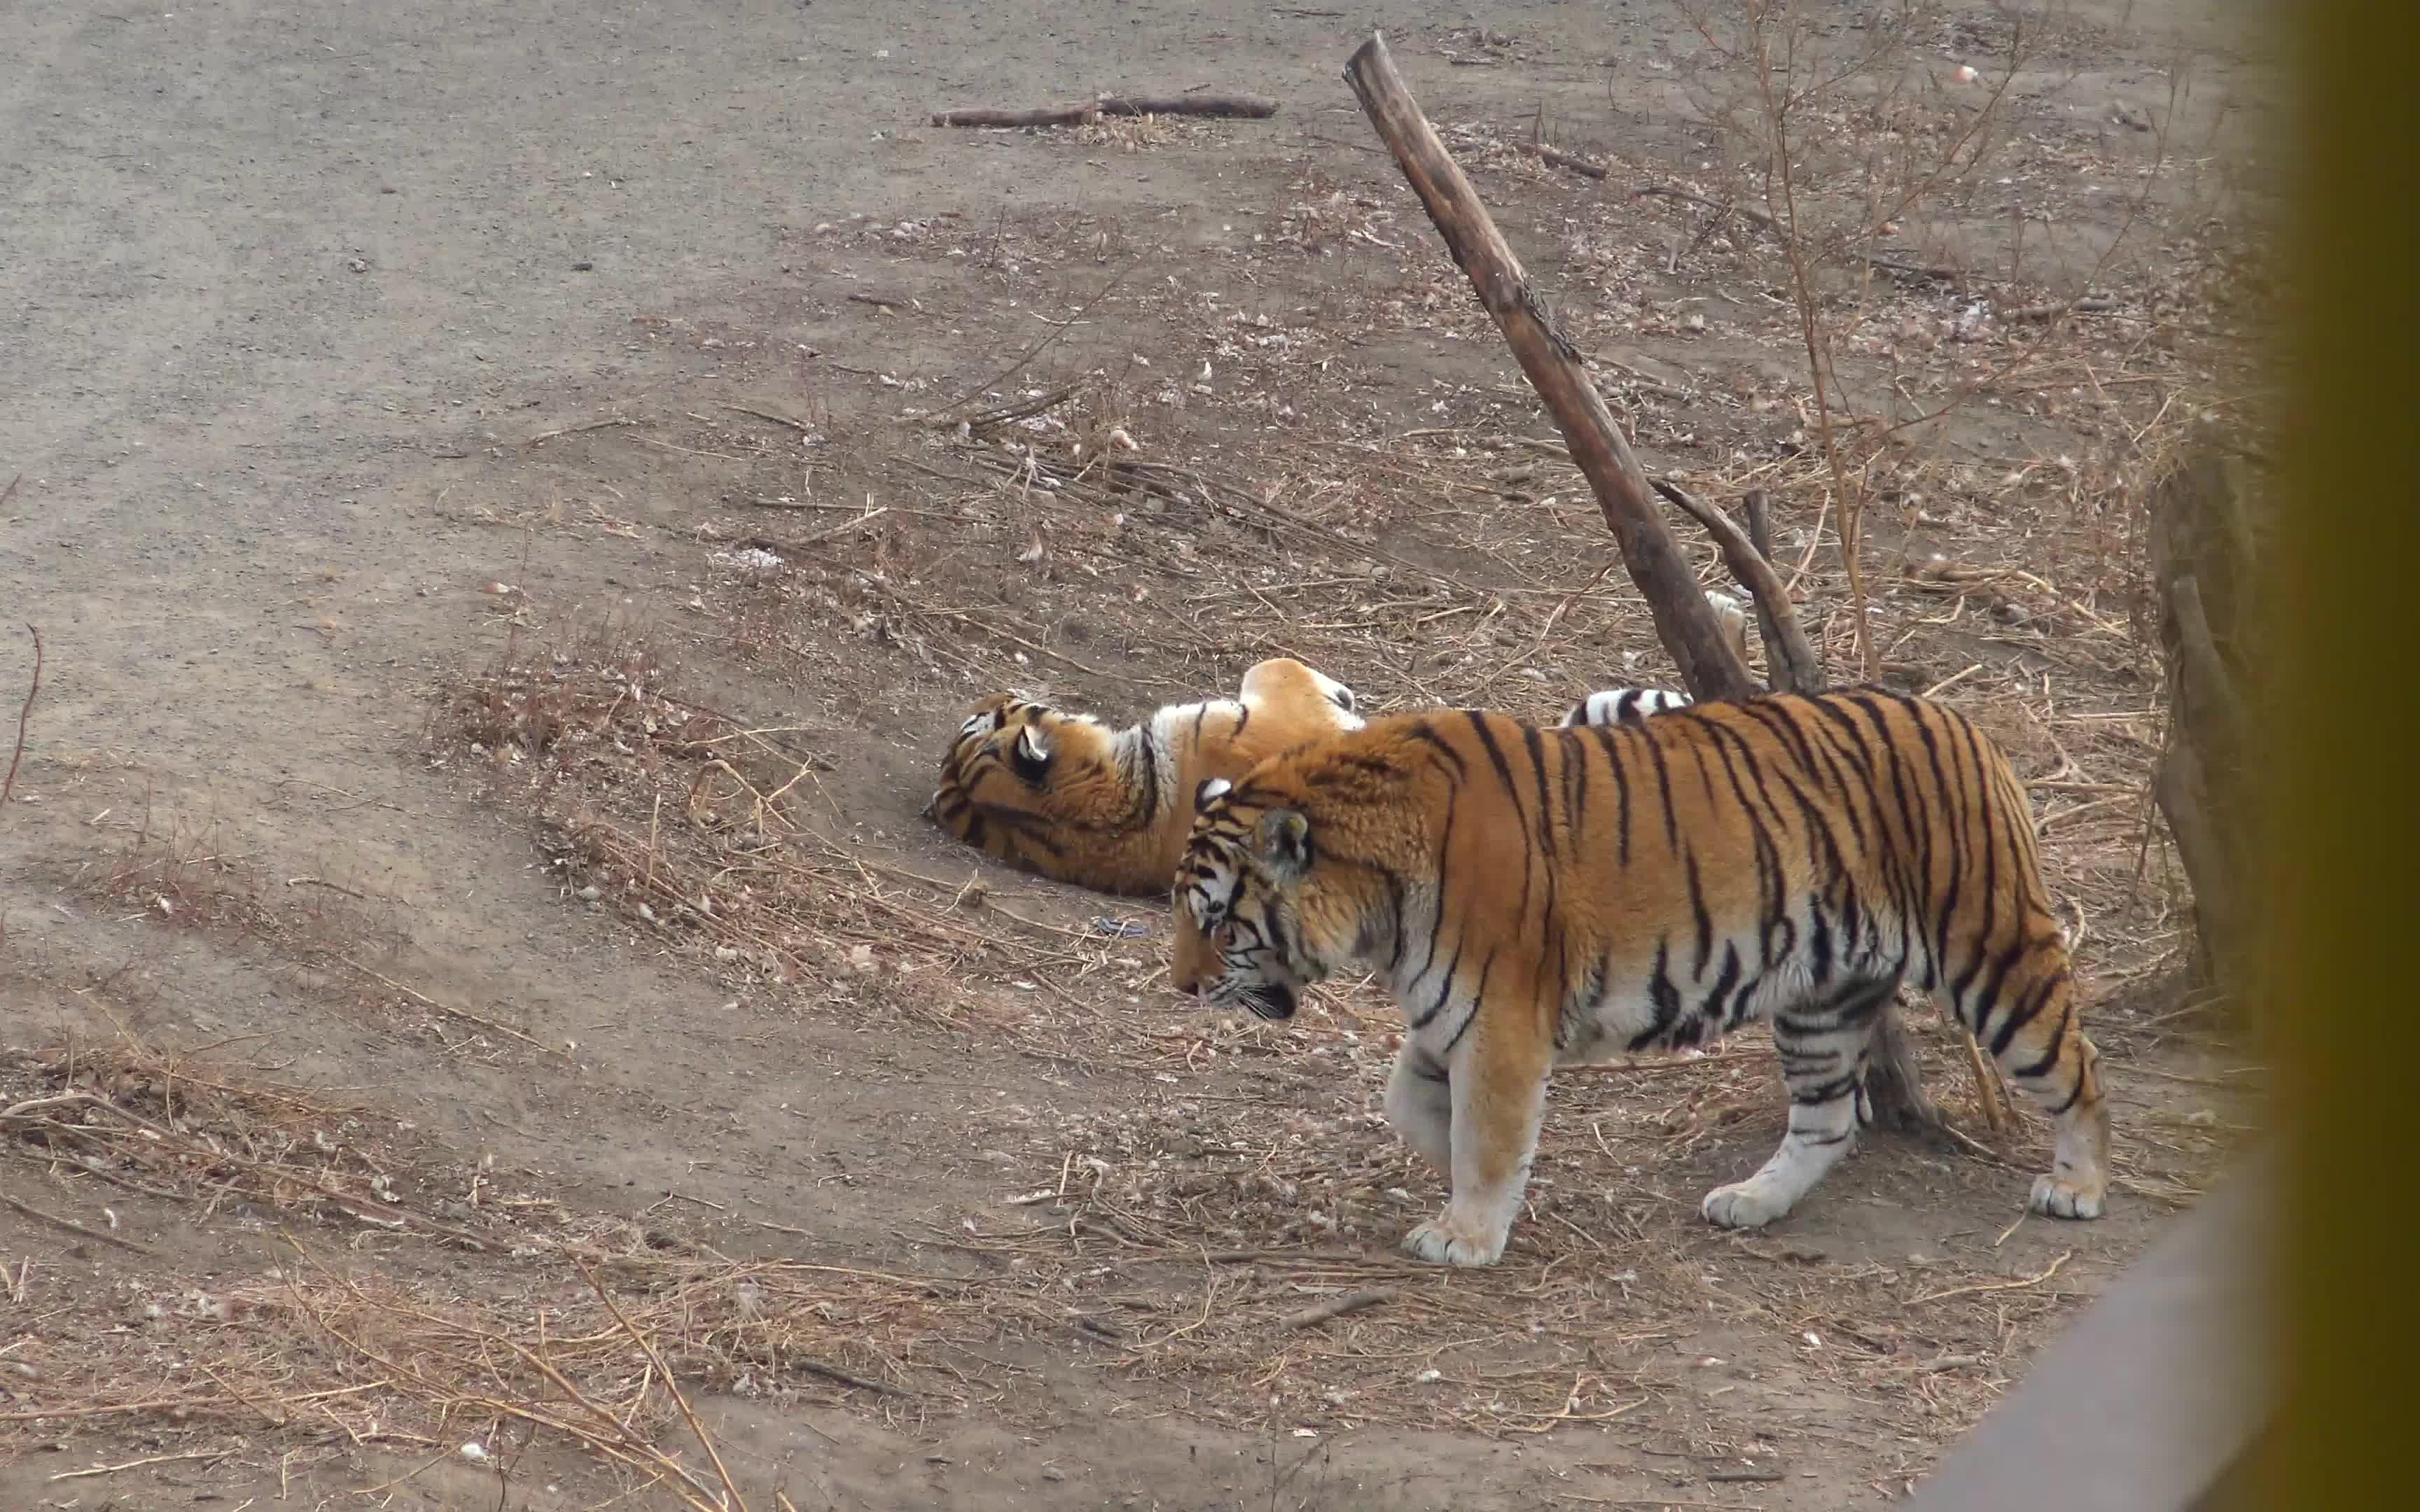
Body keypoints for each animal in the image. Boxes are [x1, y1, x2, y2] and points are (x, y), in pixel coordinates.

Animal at [1166, 692, 2100, 1267]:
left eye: (1215, 922)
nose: (1180, 987)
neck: (1376, 898)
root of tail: (1960, 719)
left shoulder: (1500, 1019)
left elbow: (1488, 1135)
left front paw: (1467, 1233)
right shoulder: (1452, 1013)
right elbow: (1418, 1109)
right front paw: (1482, 1190)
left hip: (1992, 956)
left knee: (2081, 1072)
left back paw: (2075, 1187)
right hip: (1820, 1001)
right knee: (1829, 1121)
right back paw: (1751, 1202)